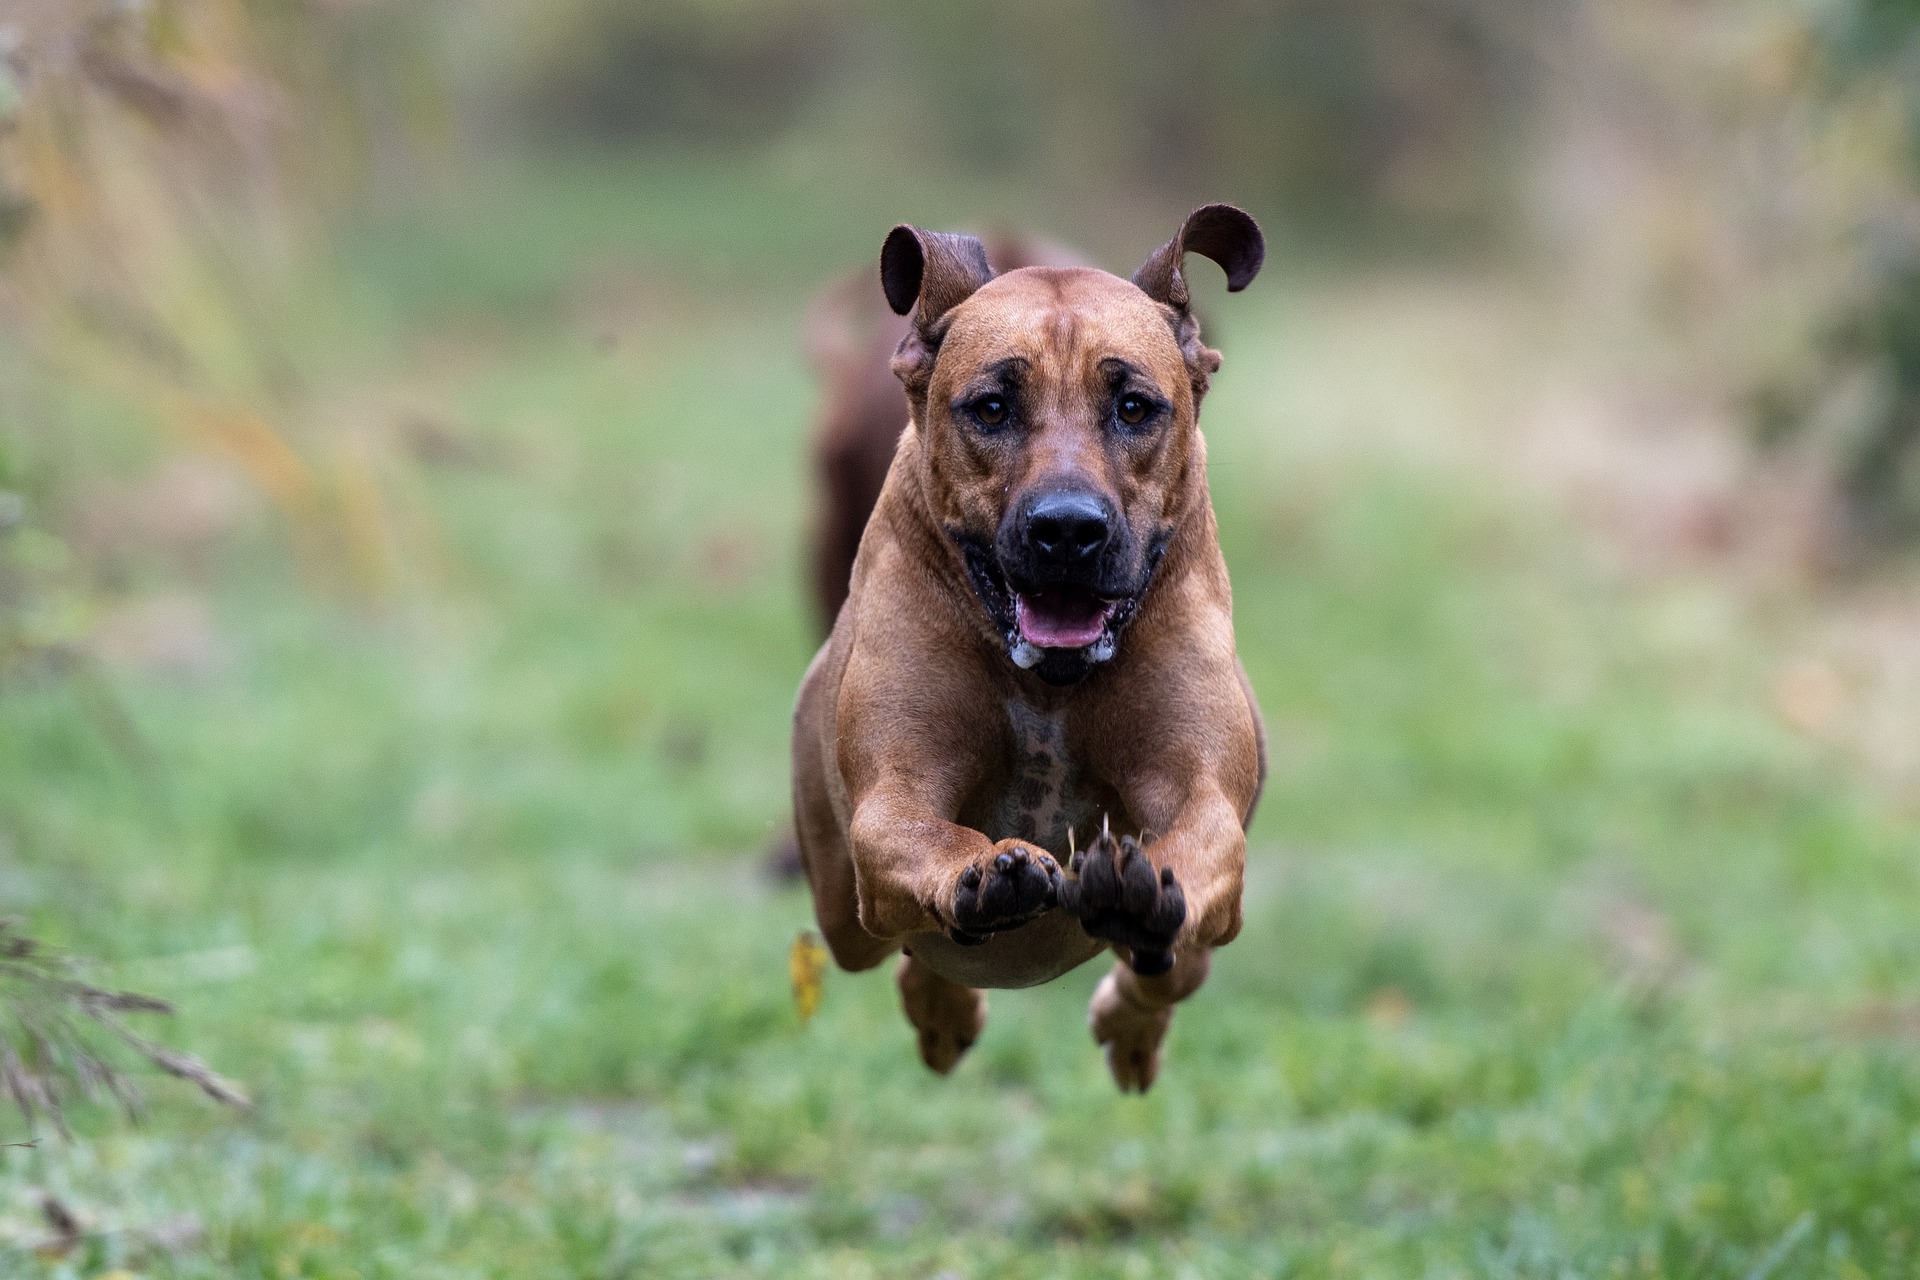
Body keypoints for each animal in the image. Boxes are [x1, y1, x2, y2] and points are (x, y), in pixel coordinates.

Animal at [787, 208, 1267, 1090]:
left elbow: (1199, 835)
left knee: (1175, 965)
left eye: (1135, 407)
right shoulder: (890, 797)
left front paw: (1136, 893)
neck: (1051, 681)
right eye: (991, 407)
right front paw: (983, 873)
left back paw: (1130, 1019)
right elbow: (918, 832)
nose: (1067, 530)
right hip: (840, 906)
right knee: (896, 945)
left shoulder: (1205, 791)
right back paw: (943, 1009)